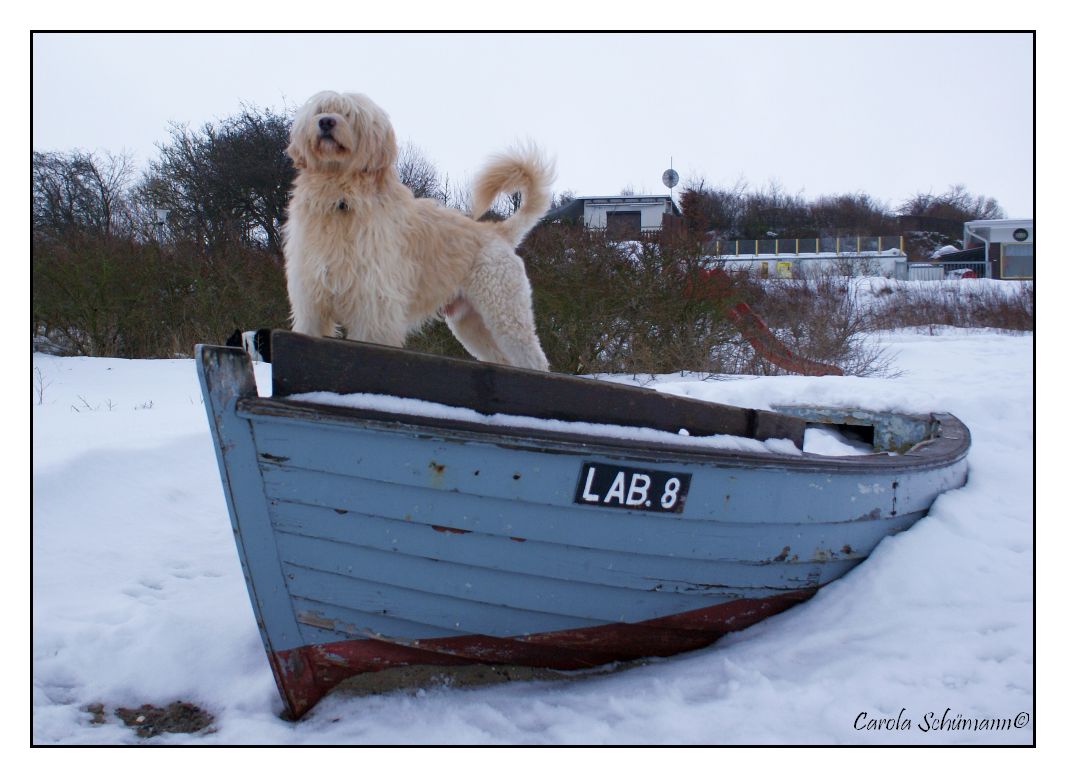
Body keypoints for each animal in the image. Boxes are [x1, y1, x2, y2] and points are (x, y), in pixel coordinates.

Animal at [279, 91, 554, 368]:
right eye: (321, 110)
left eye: (349, 114)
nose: (326, 122)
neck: (341, 200)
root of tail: (498, 232)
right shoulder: (311, 305)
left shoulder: (374, 309)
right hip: (472, 322)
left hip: (505, 315)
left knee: (534, 361)